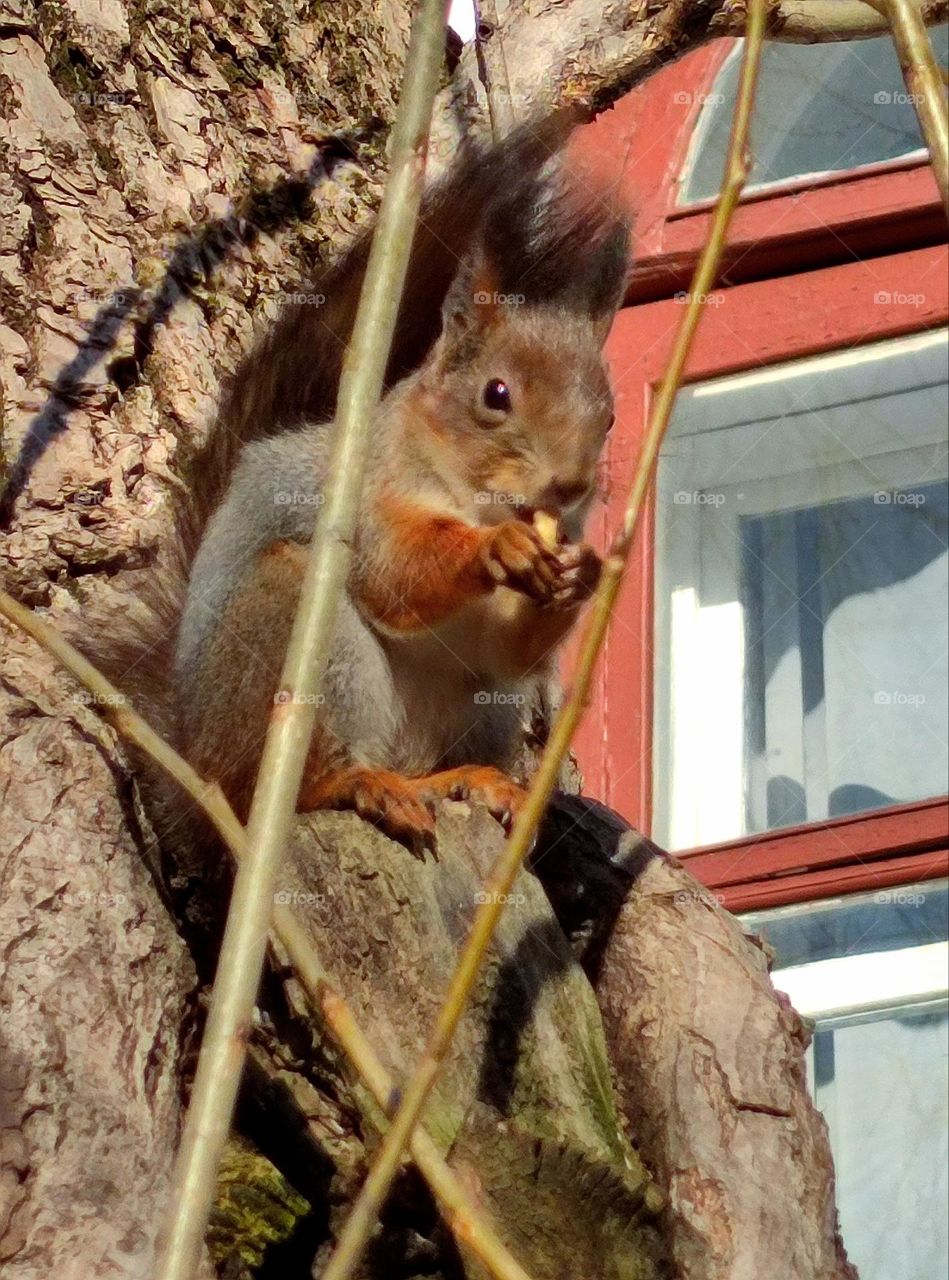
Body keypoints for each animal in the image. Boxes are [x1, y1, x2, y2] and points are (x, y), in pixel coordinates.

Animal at [92, 124, 624, 855]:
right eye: (496, 394)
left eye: (610, 415)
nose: (571, 486)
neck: (471, 497)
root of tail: (196, 771)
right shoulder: (364, 498)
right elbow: (395, 574)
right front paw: (497, 549)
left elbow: (505, 646)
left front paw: (584, 571)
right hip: (289, 632)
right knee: (290, 785)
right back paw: (357, 784)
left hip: (480, 705)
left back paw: (472, 781)